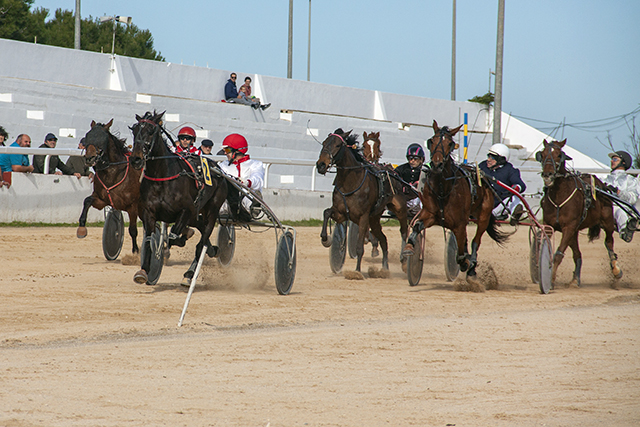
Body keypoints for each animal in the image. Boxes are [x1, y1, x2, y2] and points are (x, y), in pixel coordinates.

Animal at [77, 119, 141, 256]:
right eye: (88, 135)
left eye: (103, 138)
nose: (90, 158)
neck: (113, 172)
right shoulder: (102, 200)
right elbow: (87, 201)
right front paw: (81, 228)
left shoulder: (133, 206)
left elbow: (133, 230)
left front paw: (135, 252)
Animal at [129, 111, 228, 284]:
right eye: (134, 131)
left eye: (151, 131)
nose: (136, 159)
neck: (161, 177)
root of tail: (217, 168)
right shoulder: (149, 213)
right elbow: (148, 241)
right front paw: (144, 271)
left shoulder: (186, 210)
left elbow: (173, 237)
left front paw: (179, 240)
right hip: (197, 213)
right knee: (200, 227)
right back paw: (210, 250)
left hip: (212, 209)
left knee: (203, 237)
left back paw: (190, 273)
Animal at [316, 128, 408, 275]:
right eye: (324, 143)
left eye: (337, 145)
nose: (321, 165)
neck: (350, 182)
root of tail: (393, 173)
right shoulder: (341, 213)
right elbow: (326, 213)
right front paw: (325, 239)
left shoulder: (363, 217)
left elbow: (359, 247)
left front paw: (357, 271)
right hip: (374, 218)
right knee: (383, 240)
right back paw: (385, 268)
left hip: (399, 209)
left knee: (404, 231)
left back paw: (404, 258)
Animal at [404, 120, 509, 287]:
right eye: (431, 141)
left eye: (450, 143)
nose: (437, 165)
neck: (443, 189)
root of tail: (484, 179)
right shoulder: (430, 214)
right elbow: (417, 226)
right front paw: (409, 246)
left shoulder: (459, 224)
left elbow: (461, 252)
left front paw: (466, 263)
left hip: (483, 216)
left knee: (475, 241)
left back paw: (471, 269)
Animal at [536, 139, 621, 287]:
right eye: (543, 154)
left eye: (559, 155)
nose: (547, 175)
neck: (559, 197)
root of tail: (600, 185)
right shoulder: (550, 225)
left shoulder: (569, 227)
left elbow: (558, 254)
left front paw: (551, 279)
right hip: (575, 231)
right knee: (577, 254)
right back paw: (575, 279)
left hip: (607, 221)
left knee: (609, 242)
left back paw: (615, 269)